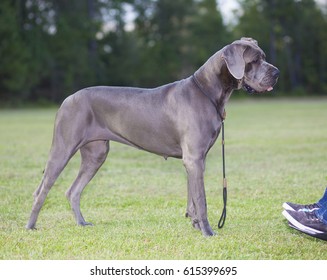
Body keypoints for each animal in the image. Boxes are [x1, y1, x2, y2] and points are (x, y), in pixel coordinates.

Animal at [26, 37, 280, 236]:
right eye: (254, 61)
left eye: (264, 57)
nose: (277, 72)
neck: (208, 91)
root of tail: (68, 98)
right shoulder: (194, 158)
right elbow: (202, 199)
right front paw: (208, 232)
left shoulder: (196, 159)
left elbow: (192, 197)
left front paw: (196, 224)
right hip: (63, 148)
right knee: (41, 190)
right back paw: (30, 226)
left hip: (96, 154)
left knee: (73, 191)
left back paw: (81, 223)